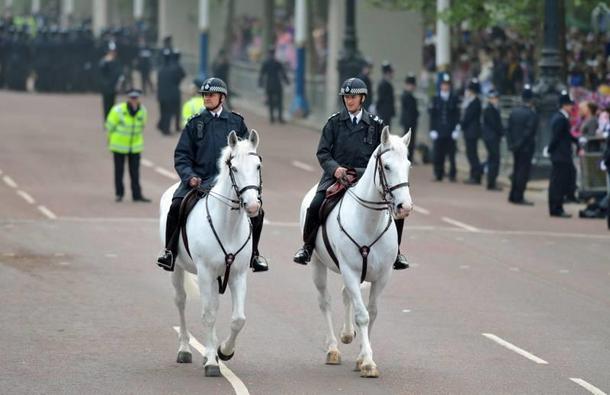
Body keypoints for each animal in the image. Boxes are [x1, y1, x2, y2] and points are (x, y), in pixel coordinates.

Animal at [158, 130, 260, 378]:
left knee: (213, 303)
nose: (253, 206)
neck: (228, 225)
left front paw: (224, 351)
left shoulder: (238, 275)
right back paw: (185, 350)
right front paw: (213, 362)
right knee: (181, 301)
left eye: (258, 166)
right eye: (234, 169)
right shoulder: (204, 273)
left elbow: (238, 319)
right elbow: (209, 315)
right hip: (178, 269)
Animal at [298, 127, 410, 378]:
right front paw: (368, 362)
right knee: (325, 302)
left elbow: (372, 312)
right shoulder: (349, 270)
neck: (368, 222)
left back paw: (347, 334)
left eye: (408, 165)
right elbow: (362, 315)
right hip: (318, 265)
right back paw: (332, 348)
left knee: (345, 294)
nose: (404, 207)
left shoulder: (382, 276)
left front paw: (361, 357)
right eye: (387, 166)